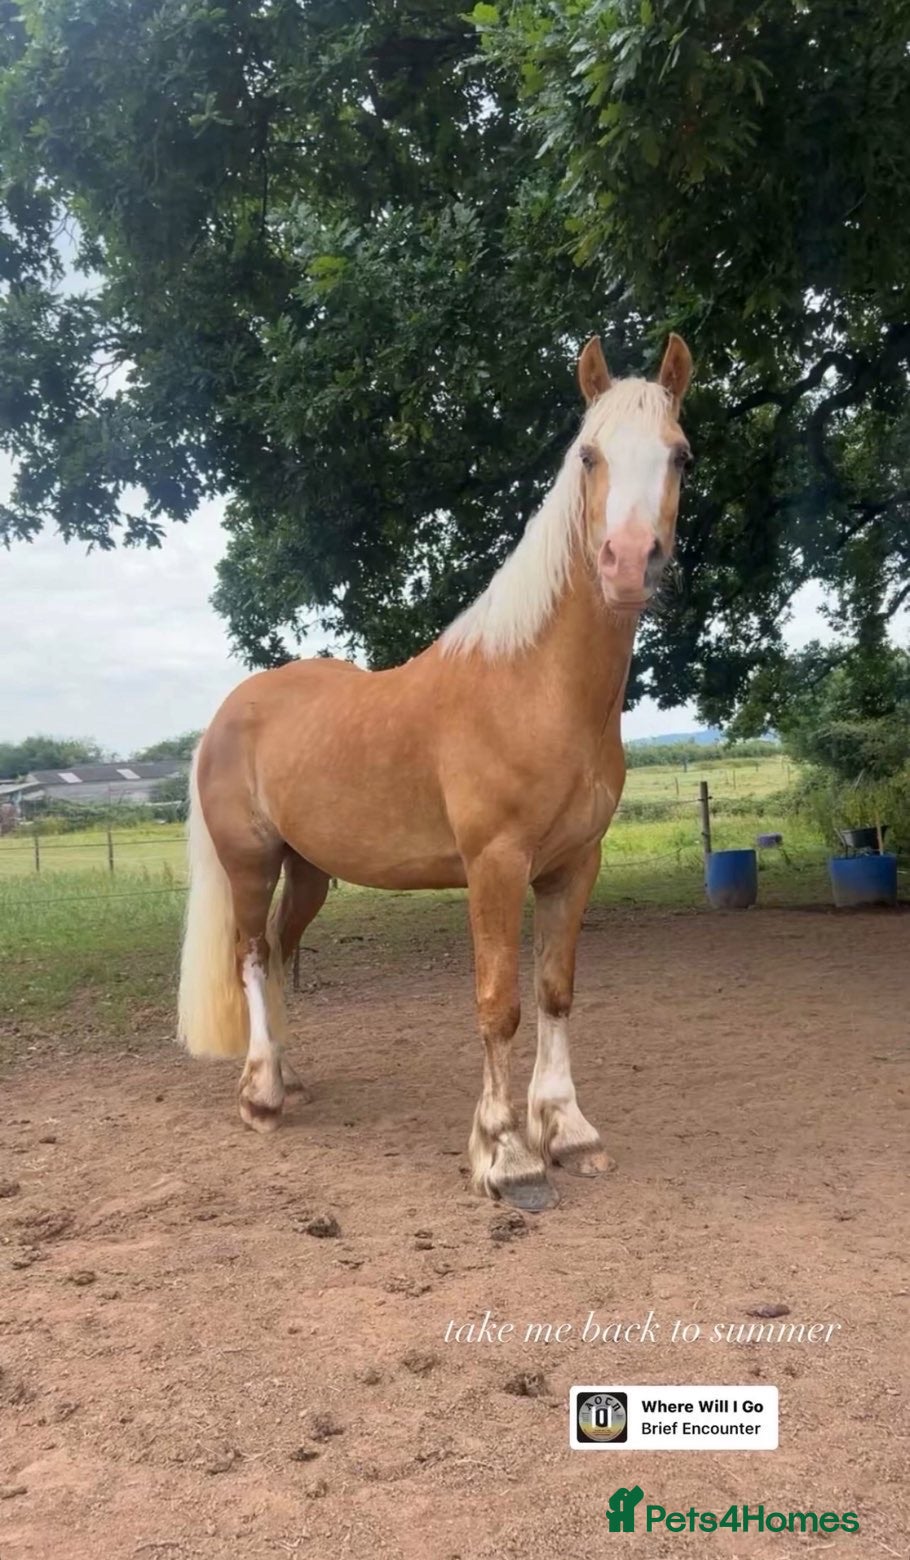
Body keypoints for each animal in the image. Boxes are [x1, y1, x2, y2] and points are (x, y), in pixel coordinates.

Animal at [178, 331, 693, 1211]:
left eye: (681, 456)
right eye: (588, 456)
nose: (627, 563)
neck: (535, 686)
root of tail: (230, 710)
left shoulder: (573, 865)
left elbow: (555, 990)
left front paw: (569, 1132)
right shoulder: (495, 865)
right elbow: (499, 1004)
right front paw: (507, 1155)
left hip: (309, 871)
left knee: (278, 951)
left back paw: (290, 1076)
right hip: (250, 862)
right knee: (248, 954)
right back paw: (260, 1095)